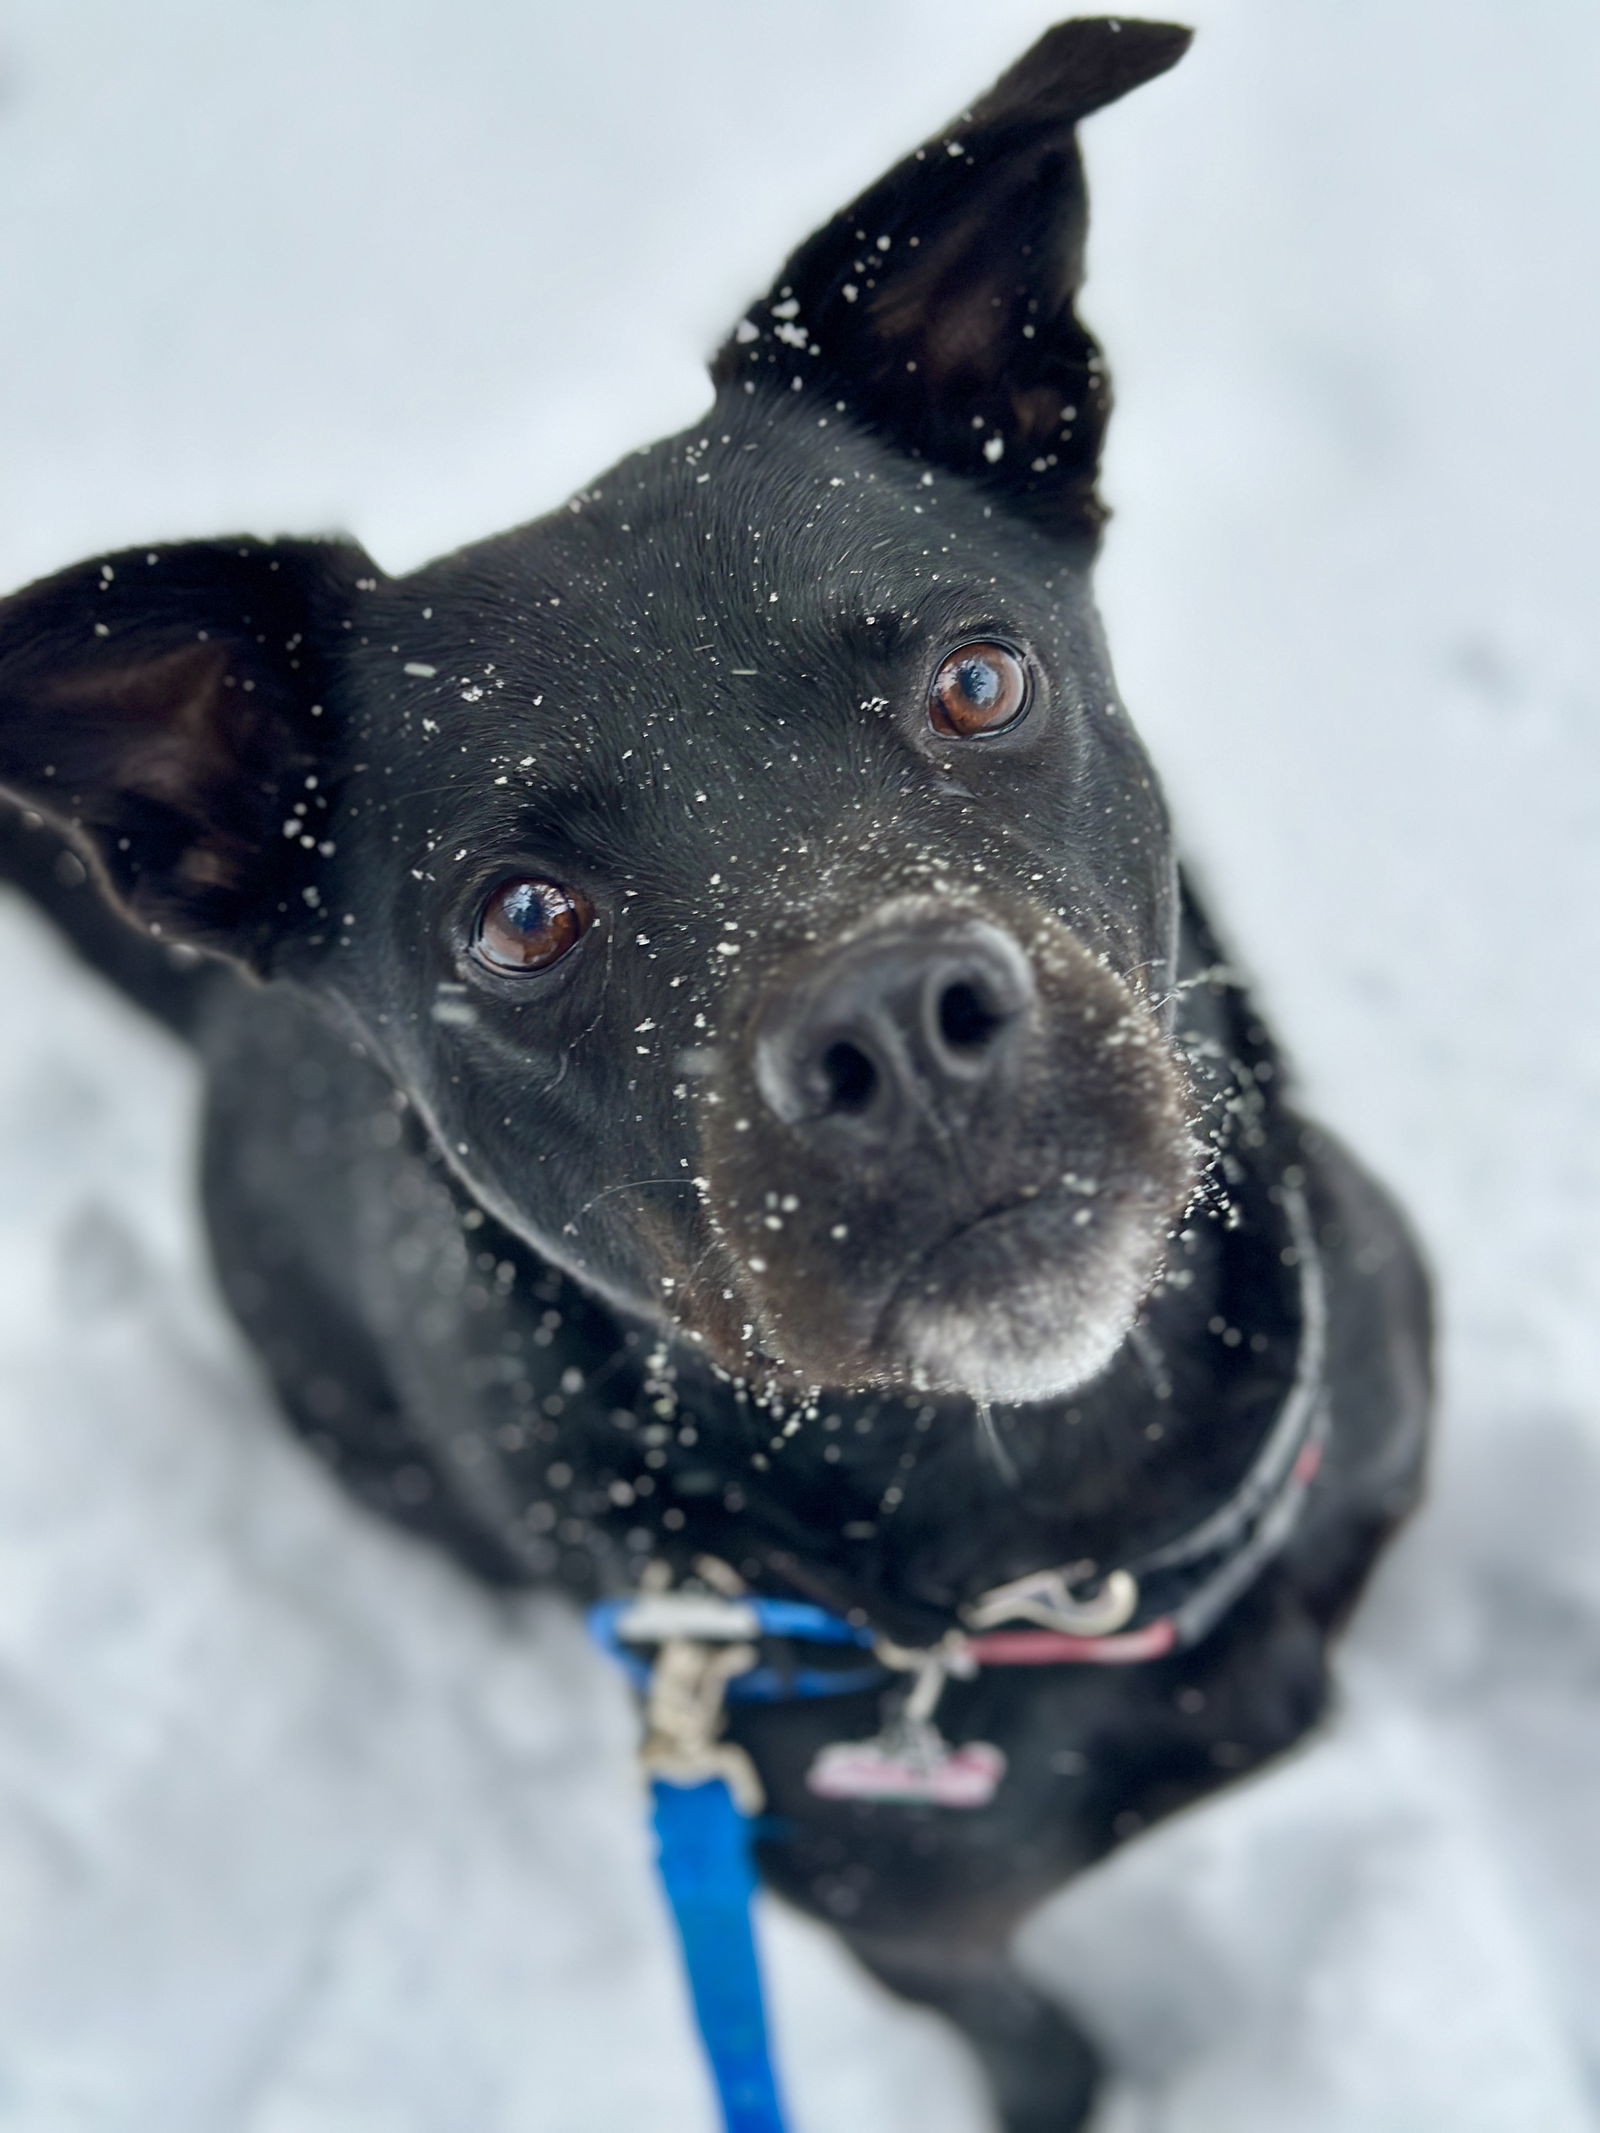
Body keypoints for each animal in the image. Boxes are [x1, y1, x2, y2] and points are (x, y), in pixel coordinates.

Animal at [0, 20, 1425, 2133]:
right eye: (519, 915)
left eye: (979, 679)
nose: (897, 1029)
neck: (1054, 1544)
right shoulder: (903, 1931)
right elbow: (1040, 2044)